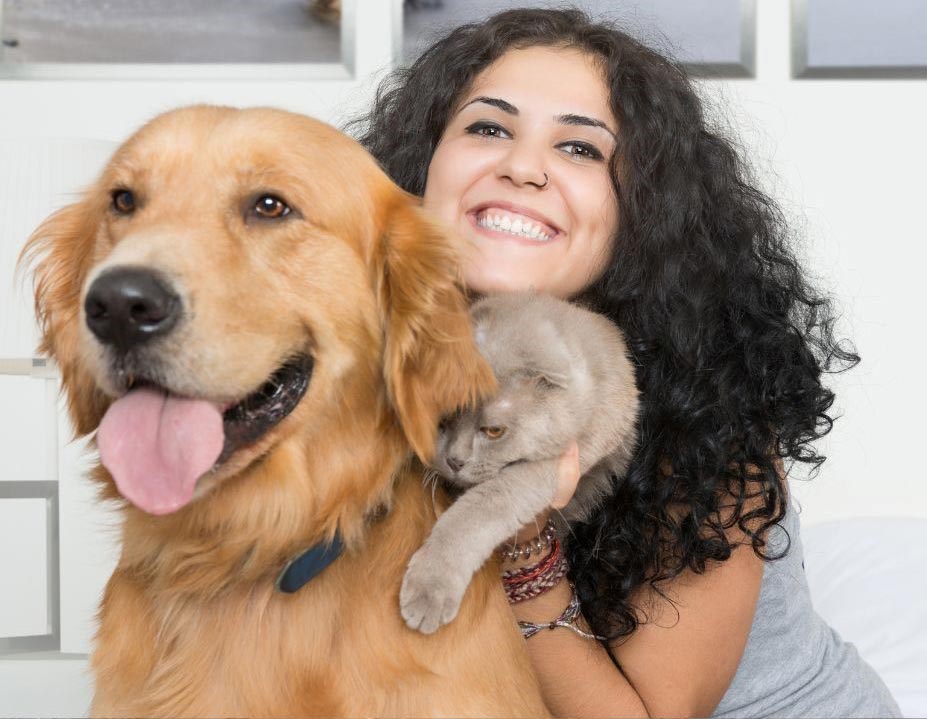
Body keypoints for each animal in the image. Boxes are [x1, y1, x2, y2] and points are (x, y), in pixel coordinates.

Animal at [398, 292, 640, 636]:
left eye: (494, 431)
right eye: (444, 419)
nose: (455, 460)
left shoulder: (548, 466)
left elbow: (474, 513)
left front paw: (428, 592)